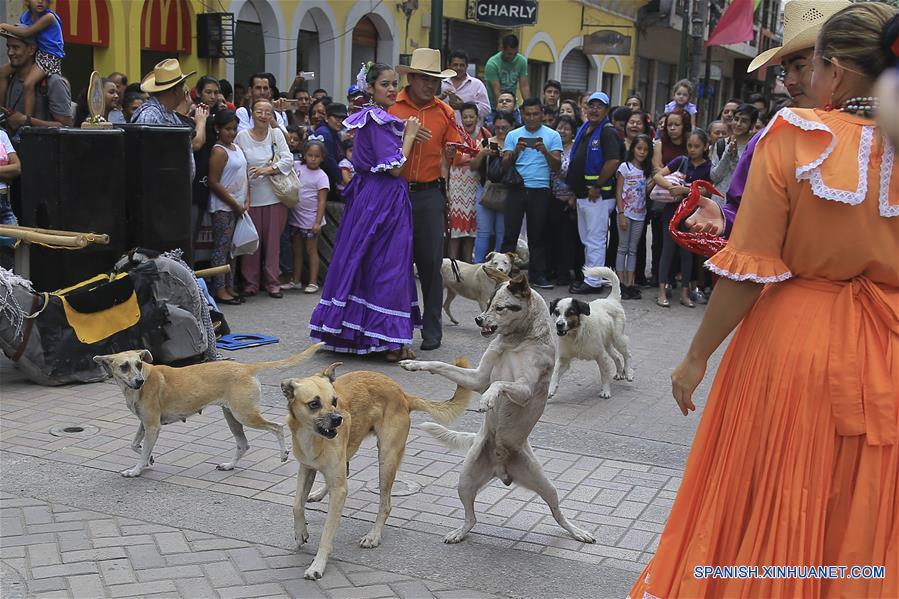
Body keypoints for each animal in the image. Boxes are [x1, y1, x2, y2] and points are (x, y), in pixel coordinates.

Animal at [94, 342, 320, 478]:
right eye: (124, 366)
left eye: (139, 364)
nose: (139, 381)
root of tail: (246, 367)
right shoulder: (145, 424)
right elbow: (135, 445)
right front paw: (148, 456)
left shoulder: (152, 426)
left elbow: (140, 454)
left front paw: (136, 470)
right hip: (232, 417)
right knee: (243, 444)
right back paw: (229, 465)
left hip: (245, 415)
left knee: (277, 427)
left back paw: (283, 454)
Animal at [548, 266, 632, 398]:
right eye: (556, 312)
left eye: (570, 313)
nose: (559, 325)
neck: (576, 333)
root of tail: (611, 299)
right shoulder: (564, 359)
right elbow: (555, 373)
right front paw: (551, 390)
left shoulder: (601, 356)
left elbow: (604, 376)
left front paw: (606, 391)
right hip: (607, 344)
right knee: (617, 357)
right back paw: (619, 372)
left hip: (618, 339)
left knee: (627, 354)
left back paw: (628, 373)